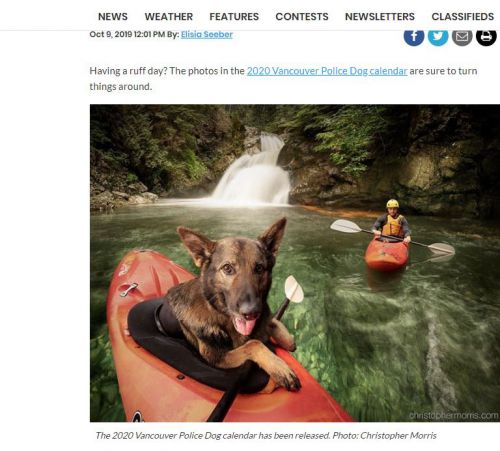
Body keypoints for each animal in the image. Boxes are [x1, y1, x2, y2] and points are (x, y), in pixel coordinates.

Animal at [160, 219, 300, 392]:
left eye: (259, 268)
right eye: (227, 268)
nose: (251, 313)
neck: (217, 312)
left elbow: (272, 323)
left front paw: (287, 339)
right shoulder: (218, 359)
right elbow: (253, 344)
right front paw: (280, 368)